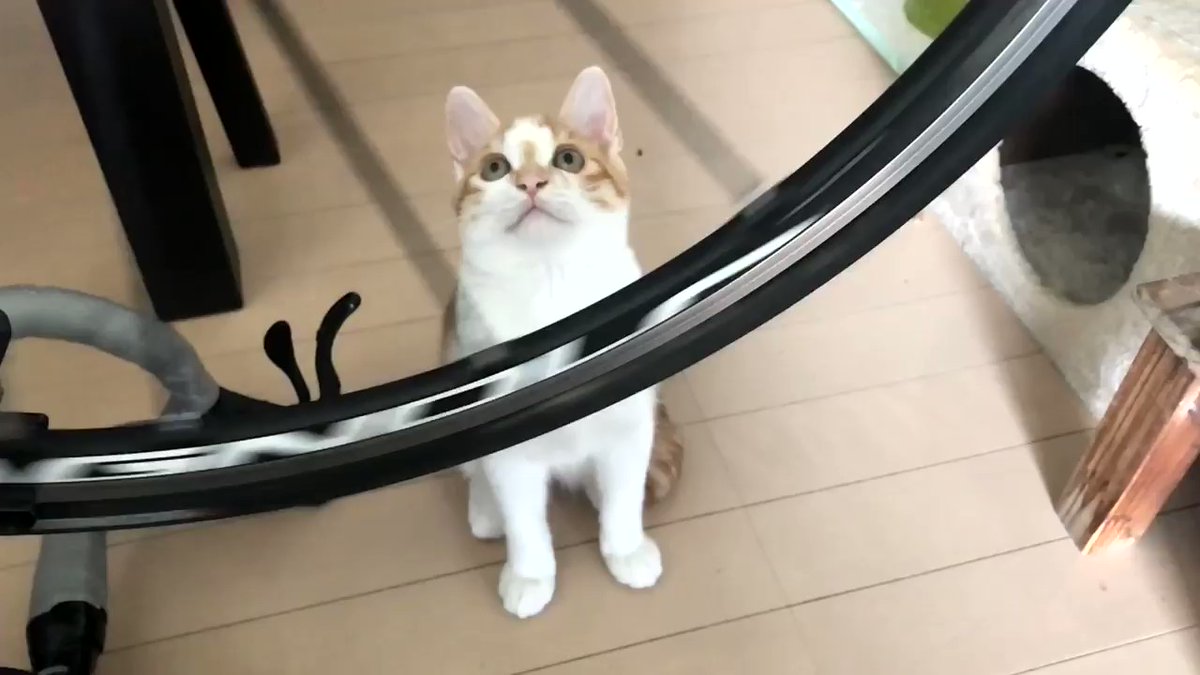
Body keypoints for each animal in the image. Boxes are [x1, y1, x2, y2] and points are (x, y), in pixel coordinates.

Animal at [440, 66, 683, 618]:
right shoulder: (507, 446)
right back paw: (485, 508)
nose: (531, 182)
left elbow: (624, 491)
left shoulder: (629, 423)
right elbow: (523, 517)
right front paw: (530, 576)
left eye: (568, 158)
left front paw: (626, 548)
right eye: (494, 168)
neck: (551, 290)